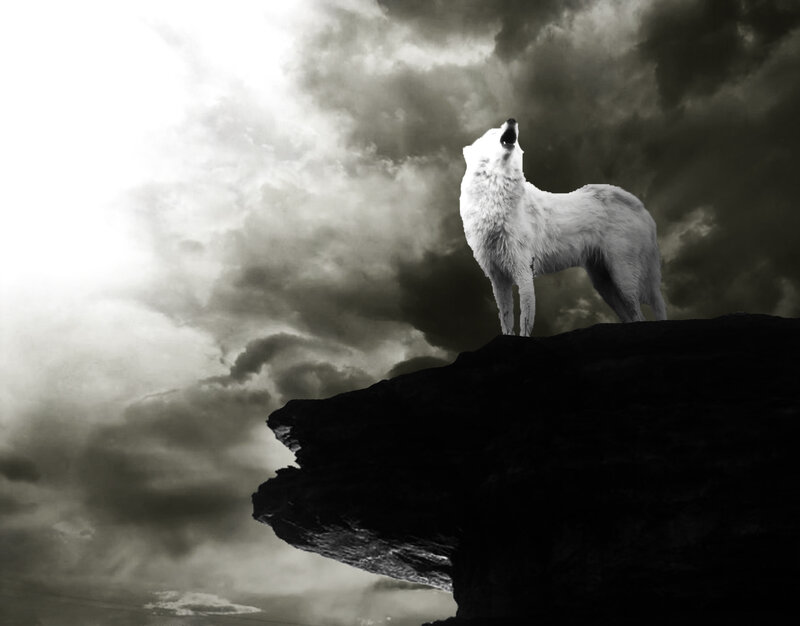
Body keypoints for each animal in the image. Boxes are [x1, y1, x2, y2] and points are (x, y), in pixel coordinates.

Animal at [460, 119, 666, 336]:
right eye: (492, 132)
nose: (512, 121)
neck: (495, 198)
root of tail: (641, 207)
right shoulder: (498, 279)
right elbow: (506, 321)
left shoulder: (523, 272)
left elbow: (525, 321)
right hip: (604, 284)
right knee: (631, 317)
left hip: (623, 278)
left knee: (640, 315)